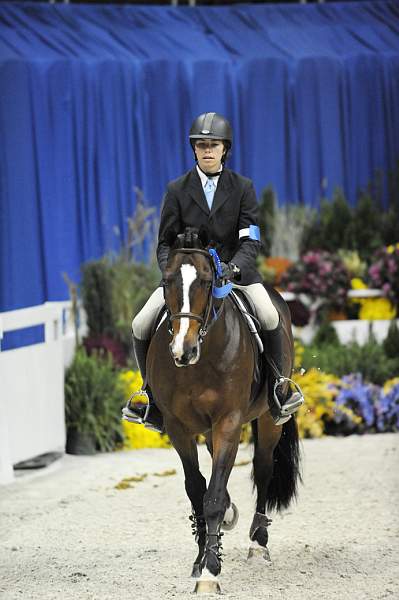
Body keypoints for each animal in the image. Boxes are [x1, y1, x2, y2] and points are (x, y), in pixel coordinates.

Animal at [143, 227, 300, 592]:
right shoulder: (178, 427)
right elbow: (197, 489)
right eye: (167, 280)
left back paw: (258, 543)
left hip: (268, 419)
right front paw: (202, 557)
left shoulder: (229, 421)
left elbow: (212, 496)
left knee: (263, 468)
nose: (182, 351)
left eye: (204, 281)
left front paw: (210, 571)